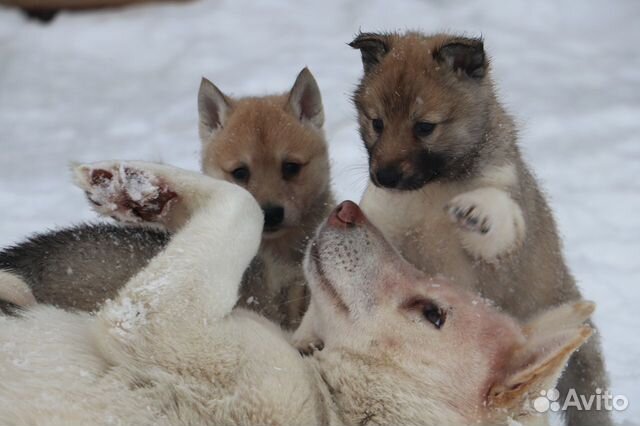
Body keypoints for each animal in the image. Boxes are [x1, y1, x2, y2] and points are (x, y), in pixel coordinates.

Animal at [0, 161, 592, 426]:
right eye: (426, 276)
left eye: (433, 313)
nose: (348, 209)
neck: (337, 407)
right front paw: (143, 192)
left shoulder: (161, 323)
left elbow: (242, 205)